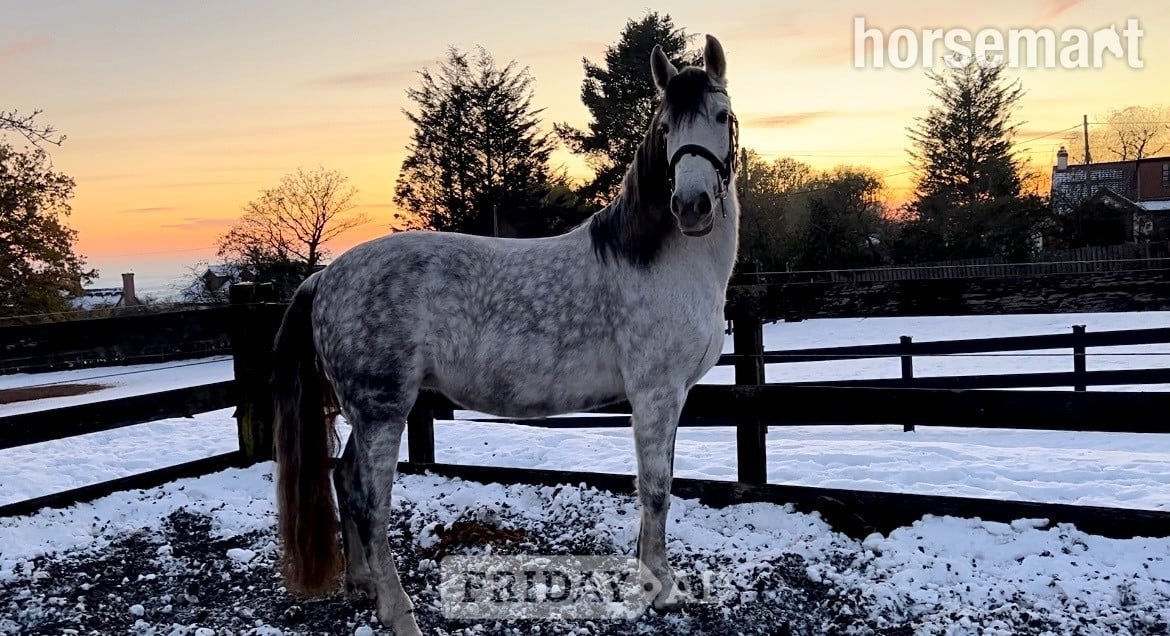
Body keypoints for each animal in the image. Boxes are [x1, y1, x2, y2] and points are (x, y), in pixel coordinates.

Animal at [271, 34, 741, 634]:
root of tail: (325, 277)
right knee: (369, 502)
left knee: (344, 478)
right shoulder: (656, 393)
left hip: (368, 409)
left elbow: (660, 482)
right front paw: (661, 589)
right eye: (664, 129)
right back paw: (400, 611)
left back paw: (362, 585)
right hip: (382, 409)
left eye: (721, 116)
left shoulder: (673, 396)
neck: (659, 259)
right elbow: (656, 489)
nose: (692, 206)